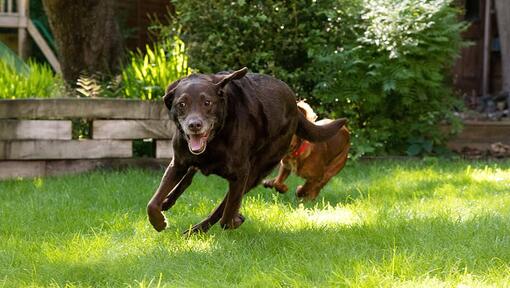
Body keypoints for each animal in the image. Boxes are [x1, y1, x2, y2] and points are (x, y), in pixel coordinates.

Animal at [146, 68, 346, 234]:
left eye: (207, 102)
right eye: (181, 104)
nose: (194, 125)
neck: (215, 139)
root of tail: (295, 106)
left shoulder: (241, 174)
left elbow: (226, 214)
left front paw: (234, 219)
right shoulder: (178, 163)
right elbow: (152, 203)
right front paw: (159, 222)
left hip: (259, 169)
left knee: (224, 207)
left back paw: (198, 229)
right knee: (189, 177)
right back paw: (169, 202)